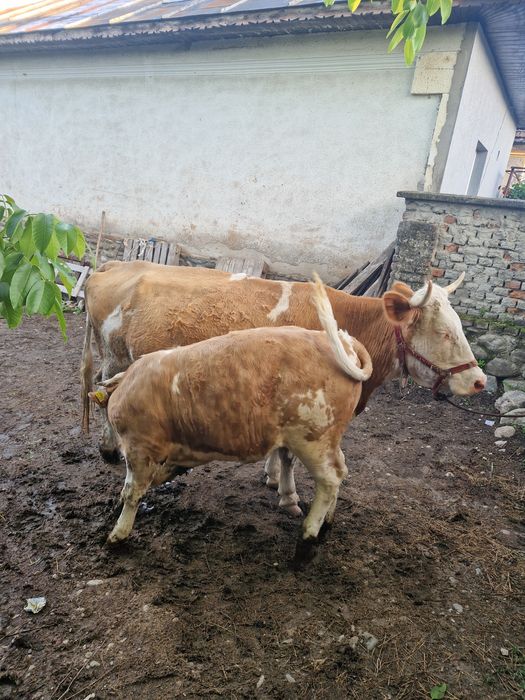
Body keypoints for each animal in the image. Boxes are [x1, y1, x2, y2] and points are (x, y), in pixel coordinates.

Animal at [81, 260, 486, 511]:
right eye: (444, 332)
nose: (479, 381)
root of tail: (117, 265)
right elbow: (289, 455)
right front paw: (287, 494)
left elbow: (280, 451)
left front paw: (271, 476)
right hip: (117, 355)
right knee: (102, 393)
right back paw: (110, 450)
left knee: (102, 390)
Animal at [91, 275, 373, 565]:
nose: (106, 452)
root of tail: (345, 343)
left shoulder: (140, 449)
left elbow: (131, 492)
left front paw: (118, 534)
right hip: (327, 440)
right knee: (341, 470)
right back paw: (326, 523)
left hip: (311, 439)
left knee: (329, 480)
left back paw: (307, 540)